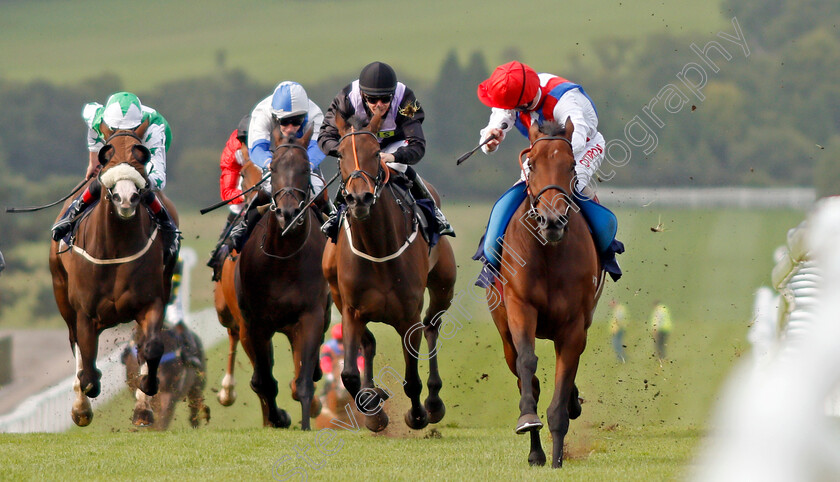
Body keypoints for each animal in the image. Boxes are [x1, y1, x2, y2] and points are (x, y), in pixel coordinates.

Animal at [49, 120, 179, 426]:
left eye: (142, 154)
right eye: (106, 155)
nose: (125, 198)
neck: (116, 247)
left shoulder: (152, 302)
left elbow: (151, 348)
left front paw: (147, 390)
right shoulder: (84, 312)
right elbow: (86, 367)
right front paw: (85, 400)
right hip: (62, 296)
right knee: (75, 344)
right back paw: (81, 407)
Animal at [236, 127, 332, 430]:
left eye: (304, 168)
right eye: (274, 168)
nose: (288, 213)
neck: (284, 260)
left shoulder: (310, 317)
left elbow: (303, 383)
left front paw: (305, 425)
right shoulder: (256, 323)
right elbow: (265, 381)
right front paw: (278, 418)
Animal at [322, 114, 456, 434]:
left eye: (375, 153)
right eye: (340, 154)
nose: (359, 198)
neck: (378, 249)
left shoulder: (408, 316)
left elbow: (412, 380)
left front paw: (417, 415)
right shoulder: (351, 309)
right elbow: (349, 373)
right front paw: (374, 411)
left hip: (444, 286)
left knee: (432, 326)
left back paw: (434, 403)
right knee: (368, 343)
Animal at [486, 118, 604, 468]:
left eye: (571, 166)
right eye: (532, 164)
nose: (553, 221)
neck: (548, 252)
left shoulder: (575, 325)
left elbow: (563, 388)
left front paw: (557, 457)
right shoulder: (519, 307)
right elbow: (528, 364)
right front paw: (528, 419)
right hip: (504, 332)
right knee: (525, 374)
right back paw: (535, 450)